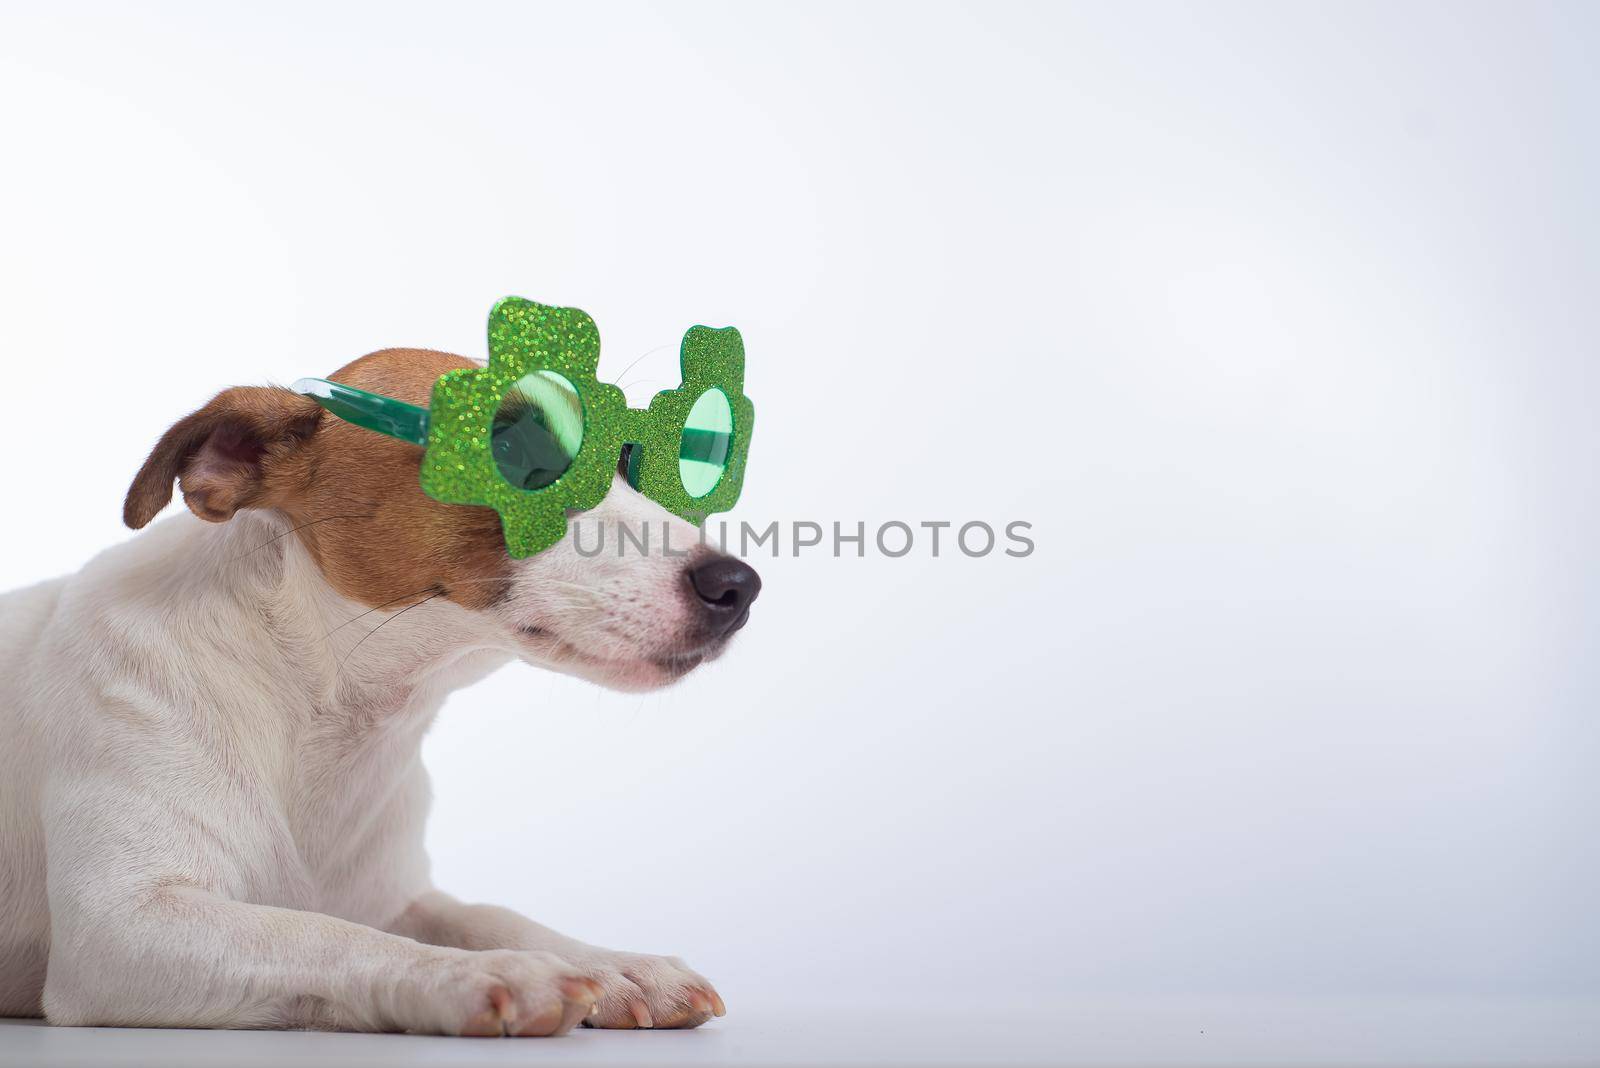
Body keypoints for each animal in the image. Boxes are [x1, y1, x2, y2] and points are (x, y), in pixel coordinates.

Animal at [0, 343, 758, 1036]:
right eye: (512, 453)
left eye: (632, 463)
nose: (737, 585)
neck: (324, 709)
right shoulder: (123, 931)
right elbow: (325, 936)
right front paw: (485, 974)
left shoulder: (396, 898)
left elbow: (485, 913)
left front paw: (610, 962)